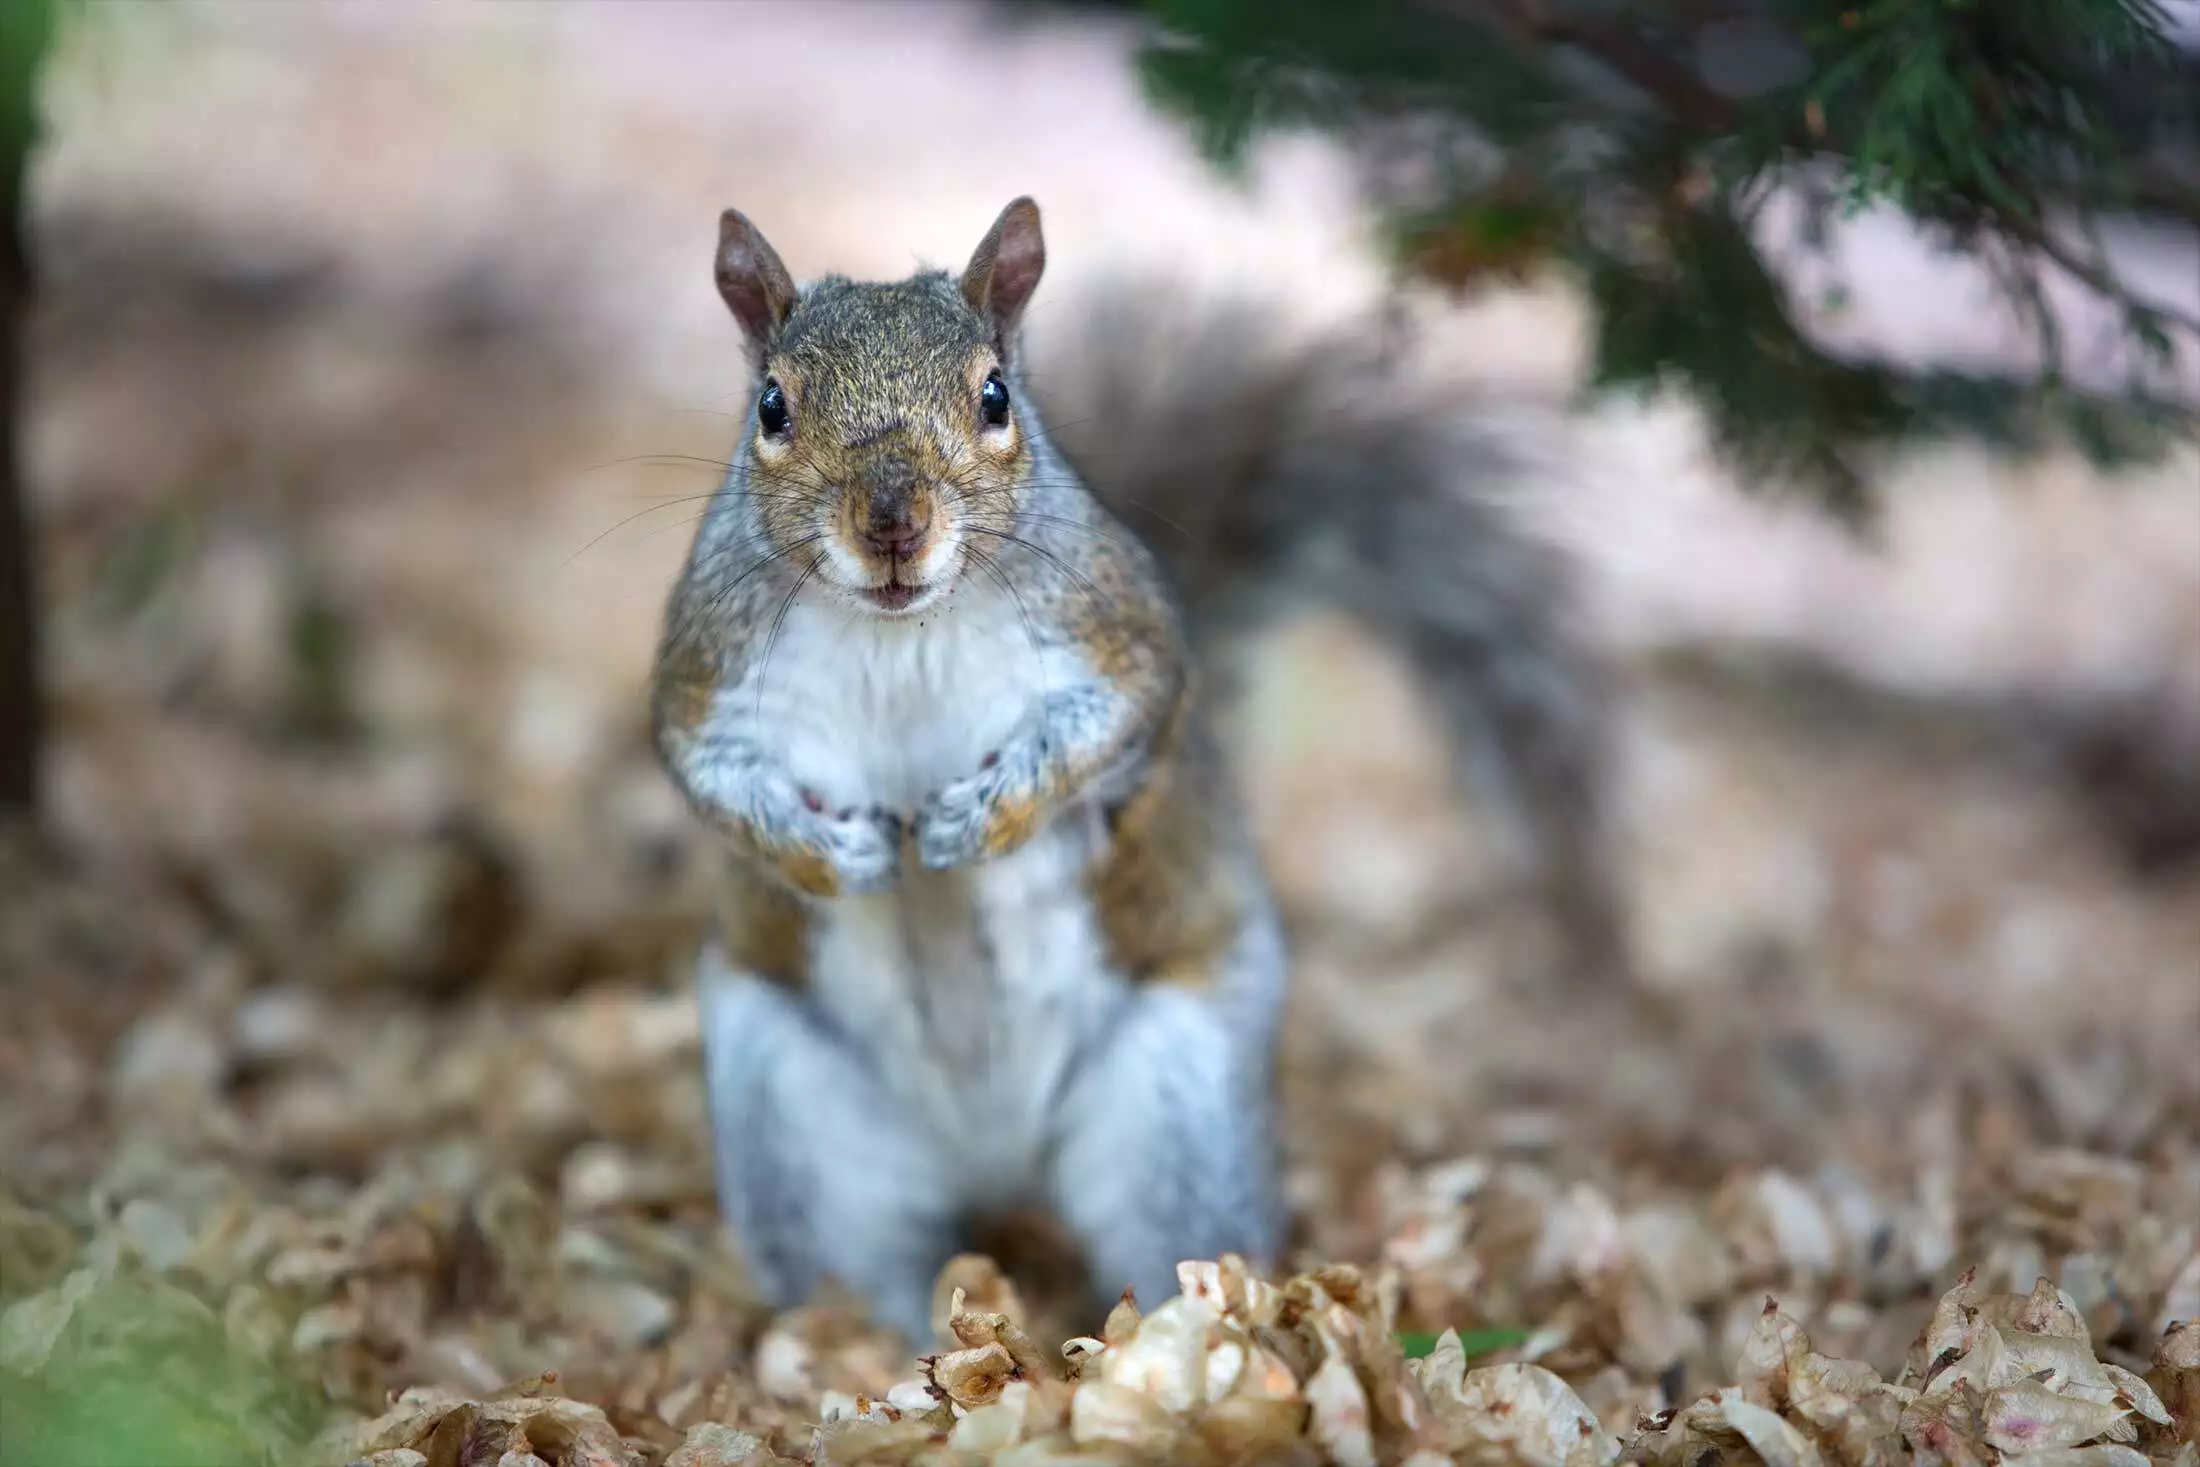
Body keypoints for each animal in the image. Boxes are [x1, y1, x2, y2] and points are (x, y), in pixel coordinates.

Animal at [649, 196, 1620, 1345]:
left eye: (995, 394)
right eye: (771, 407)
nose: (893, 521)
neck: (899, 630)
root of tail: (996, 1159)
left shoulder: (1120, 632)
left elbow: (1105, 726)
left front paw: (979, 816)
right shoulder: (705, 672)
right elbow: (704, 772)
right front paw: (828, 851)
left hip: (1176, 1096)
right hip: (790, 1113)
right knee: (855, 1259)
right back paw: (877, 1350)